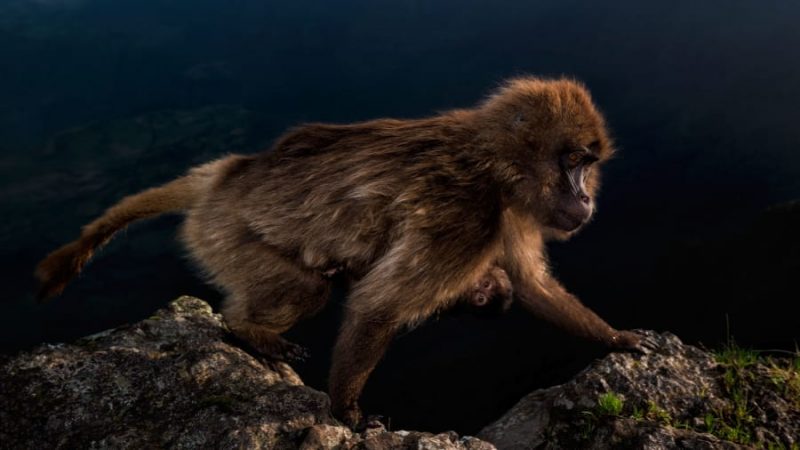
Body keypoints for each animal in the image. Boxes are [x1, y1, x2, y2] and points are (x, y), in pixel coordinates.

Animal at [32, 76, 656, 426]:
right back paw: (246, 328)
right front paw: (346, 413)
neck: (495, 164)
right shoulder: (466, 214)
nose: (586, 199)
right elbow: (379, 307)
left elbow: (530, 287)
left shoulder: (511, 213)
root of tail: (228, 176)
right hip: (223, 235)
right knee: (305, 287)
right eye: (573, 163)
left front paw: (617, 338)